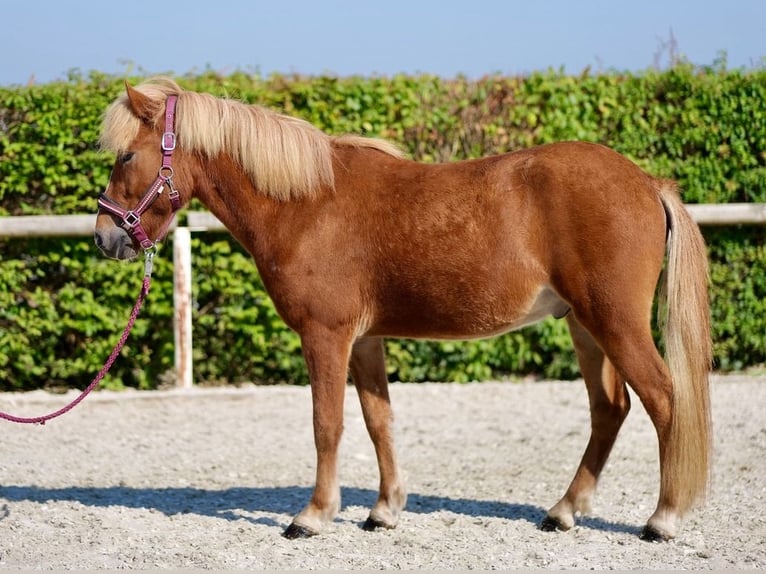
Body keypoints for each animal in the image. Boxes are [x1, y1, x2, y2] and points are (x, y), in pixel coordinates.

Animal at [94, 77, 712, 544]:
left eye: (127, 155)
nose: (105, 237)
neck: (307, 205)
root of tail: (646, 181)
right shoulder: (364, 339)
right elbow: (378, 420)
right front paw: (384, 510)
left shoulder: (326, 335)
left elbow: (327, 423)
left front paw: (313, 515)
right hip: (585, 326)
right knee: (610, 408)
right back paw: (564, 511)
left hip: (615, 321)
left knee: (663, 398)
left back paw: (662, 518)